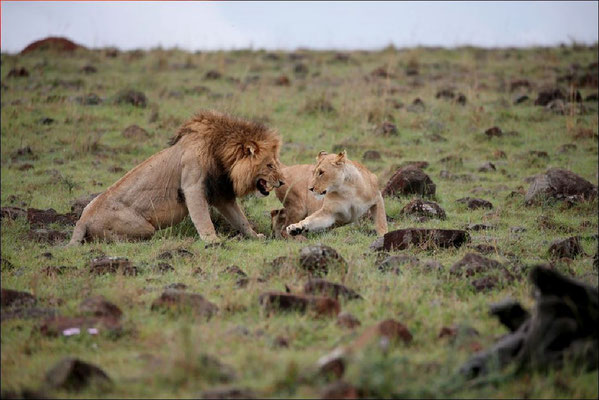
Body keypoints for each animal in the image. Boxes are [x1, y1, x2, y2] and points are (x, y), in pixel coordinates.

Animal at [69, 111, 284, 245]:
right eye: (270, 165)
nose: (282, 182)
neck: (223, 155)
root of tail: (82, 221)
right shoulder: (193, 185)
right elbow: (202, 217)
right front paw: (213, 240)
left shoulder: (221, 193)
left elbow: (241, 219)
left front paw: (255, 236)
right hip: (143, 227)